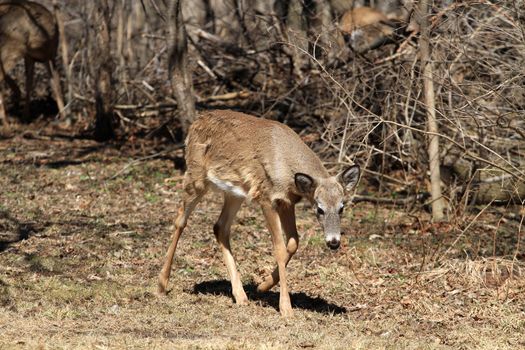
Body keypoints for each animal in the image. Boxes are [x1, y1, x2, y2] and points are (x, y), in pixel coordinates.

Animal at [157, 110, 360, 318]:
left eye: (342, 207)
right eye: (319, 209)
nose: (334, 242)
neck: (286, 167)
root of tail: (195, 122)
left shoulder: (287, 201)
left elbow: (293, 242)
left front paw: (263, 286)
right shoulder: (266, 197)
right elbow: (279, 248)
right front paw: (285, 307)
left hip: (234, 191)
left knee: (220, 227)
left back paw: (241, 296)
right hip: (196, 176)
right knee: (180, 220)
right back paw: (161, 284)